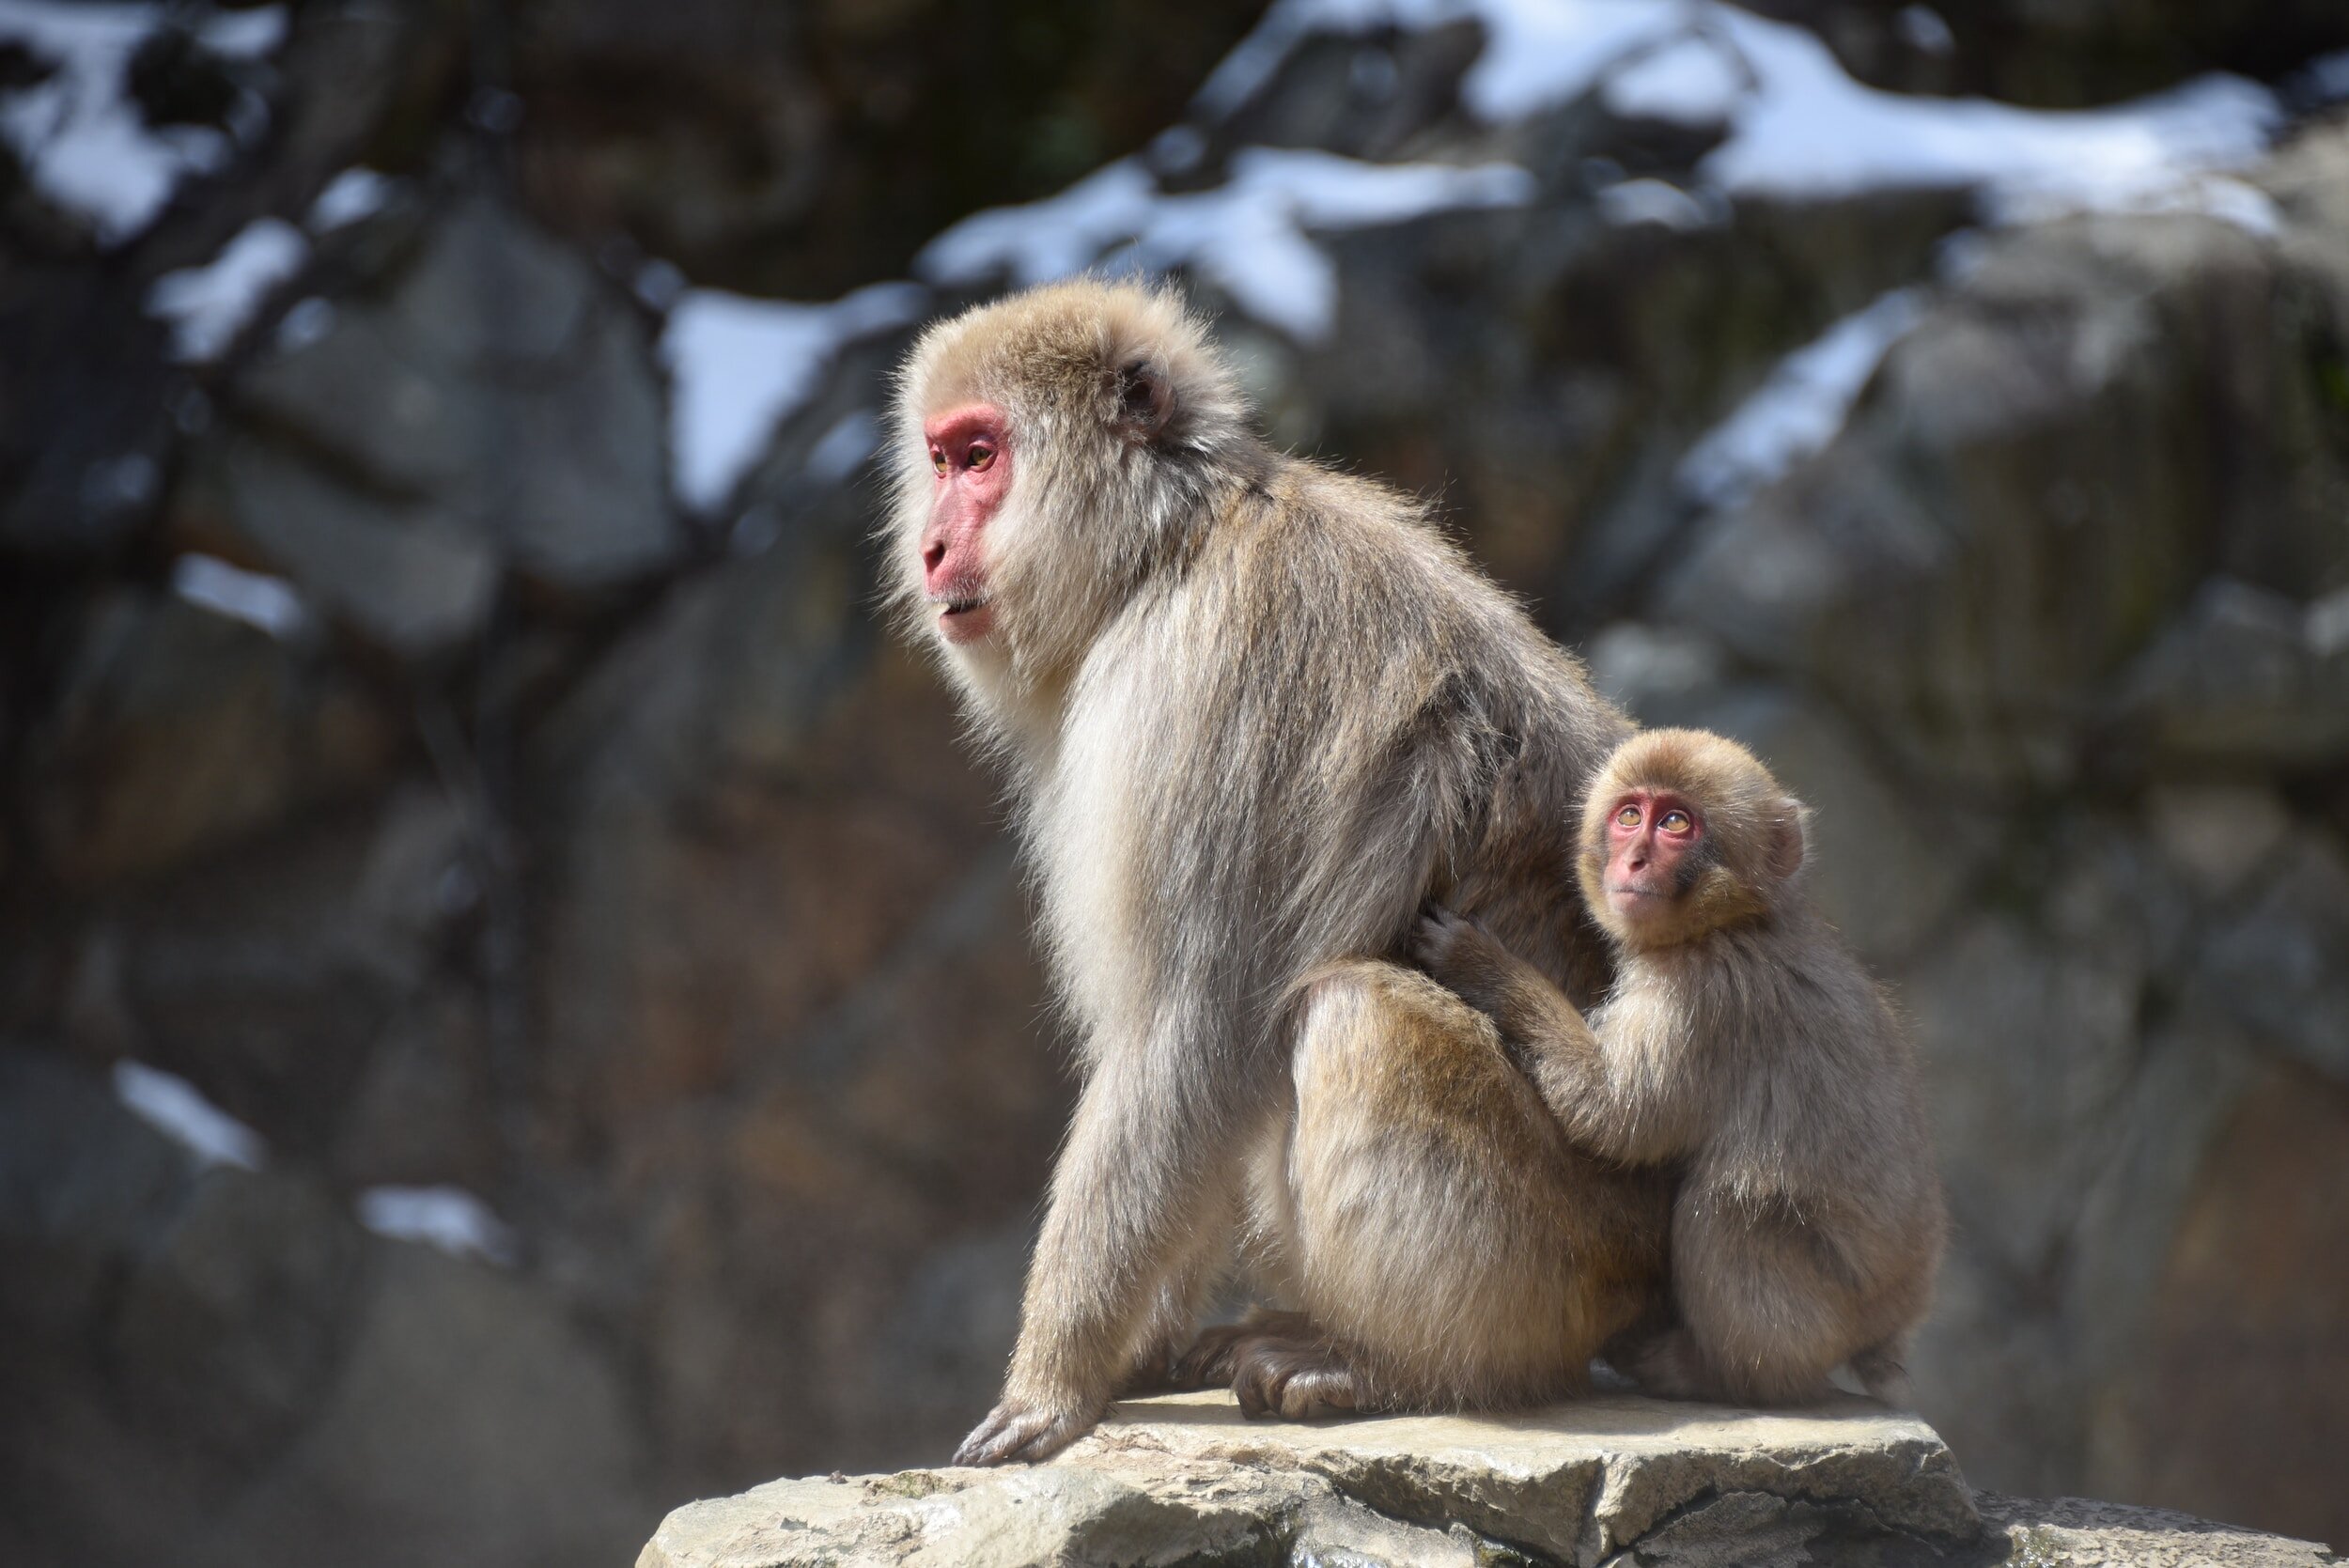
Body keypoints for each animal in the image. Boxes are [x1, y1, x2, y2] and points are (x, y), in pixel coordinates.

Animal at [1409, 727, 1945, 1399]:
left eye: (1675, 824)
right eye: (1629, 816)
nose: (1634, 860)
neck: (1727, 924)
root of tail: (1893, 1318)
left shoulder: (1698, 999)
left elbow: (1616, 1115)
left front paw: (1482, 965)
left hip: (1820, 1309)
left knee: (1726, 1209)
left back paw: (1712, 1372)